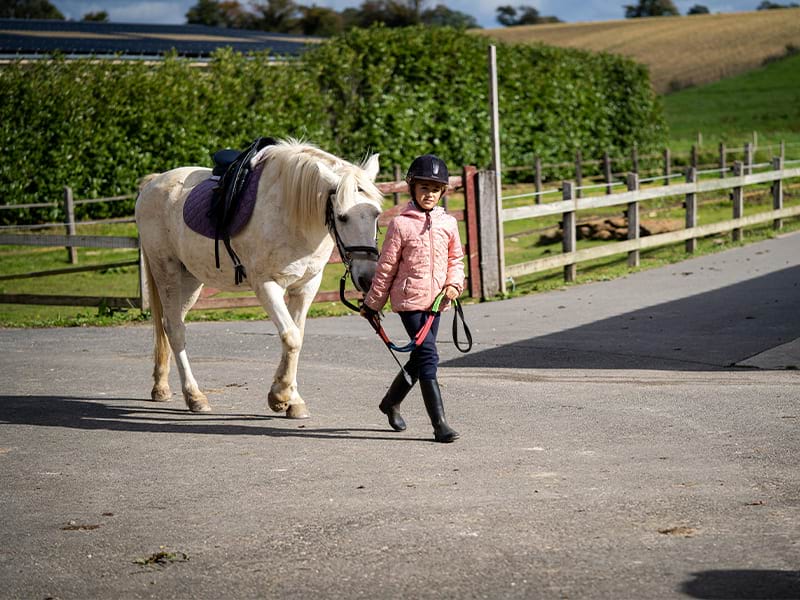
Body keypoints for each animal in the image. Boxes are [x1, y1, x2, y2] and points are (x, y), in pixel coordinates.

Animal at [136, 141, 382, 420]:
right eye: (342, 217)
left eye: (376, 214)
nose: (367, 277)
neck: (292, 213)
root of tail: (153, 183)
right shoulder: (266, 284)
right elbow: (291, 337)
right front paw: (280, 396)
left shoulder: (305, 287)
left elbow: (296, 337)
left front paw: (292, 400)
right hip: (167, 273)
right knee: (175, 330)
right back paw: (194, 396)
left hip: (189, 281)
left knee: (170, 326)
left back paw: (162, 387)